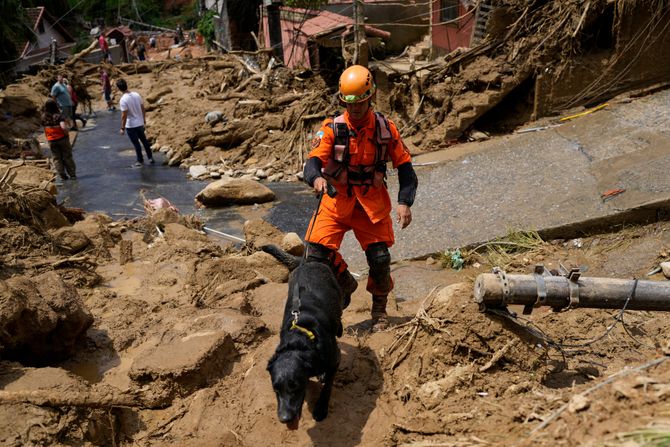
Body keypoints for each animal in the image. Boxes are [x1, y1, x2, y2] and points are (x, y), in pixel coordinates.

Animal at [264, 245, 344, 430]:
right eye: (275, 389)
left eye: (295, 385)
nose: (284, 419)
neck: (298, 341)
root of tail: (308, 262)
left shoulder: (335, 359)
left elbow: (328, 385)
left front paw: (321, 408)